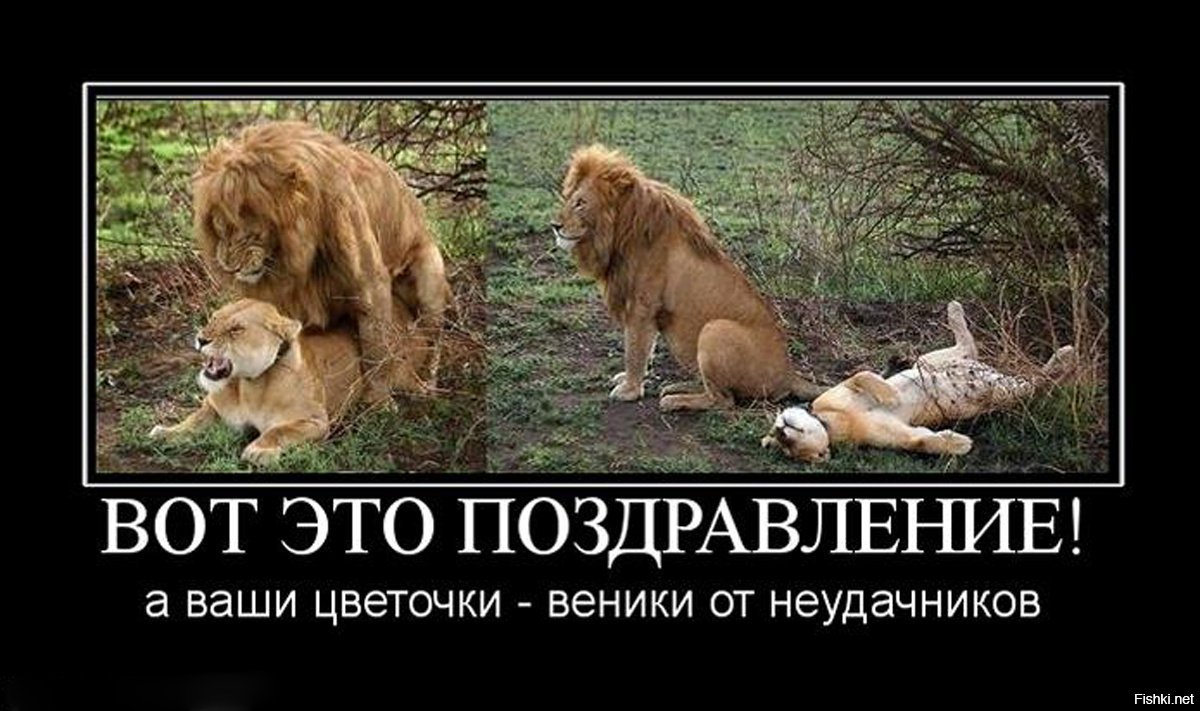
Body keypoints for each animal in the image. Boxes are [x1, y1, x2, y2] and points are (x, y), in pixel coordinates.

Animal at [149, 298, 363, 465]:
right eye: (214, 318)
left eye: (236, 329)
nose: (201, 339)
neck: (248, 386)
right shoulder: (214, 406)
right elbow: (194, 420)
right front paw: (166, 432)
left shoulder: (316, 421)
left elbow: (279, 430)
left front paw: (258, 450)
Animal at [192, 120, 451, 405]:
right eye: (219, 225)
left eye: (248, 231)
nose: (228, 266)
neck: (294, 258)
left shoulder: (370, 284)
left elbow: (376, 346)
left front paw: (378, 401)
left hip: (430, 282)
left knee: (433, 339)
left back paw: (428, 386)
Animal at [551, 144, 824, 411]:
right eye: (568, 199)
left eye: (581, 203)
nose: (554, 225)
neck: (618, 232)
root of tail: (789, 374)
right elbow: (644, 348)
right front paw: (630, 380)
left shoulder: (642, 305)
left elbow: (634, 349)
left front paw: (629, 390)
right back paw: (677, 387)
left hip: (715, 329)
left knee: (723, 401)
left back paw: (674, 400)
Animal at [761, 301, 1077, 461]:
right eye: (788, 448)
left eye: (778, 435)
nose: (782, 431)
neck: (833, 422)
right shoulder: (897, 435)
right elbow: (922, 442)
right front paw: (958, 444)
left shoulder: (841, 388)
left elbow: (862, 376)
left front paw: (888, 393)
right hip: (1001, 392)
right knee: (1035, 383)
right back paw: (1064, 359)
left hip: (928, 361)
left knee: (967, 347)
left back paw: (954, 310)